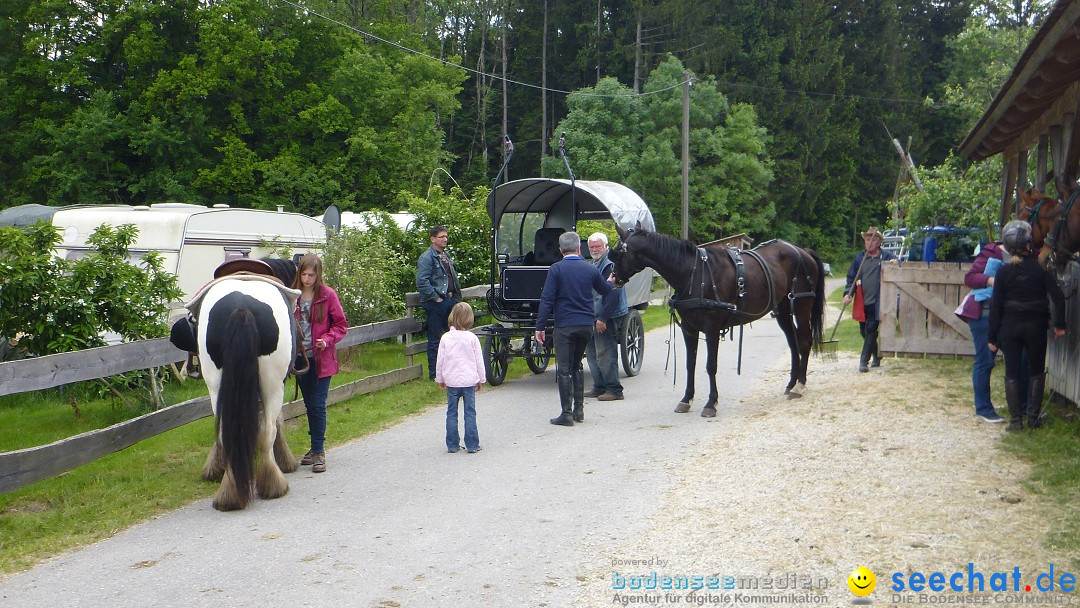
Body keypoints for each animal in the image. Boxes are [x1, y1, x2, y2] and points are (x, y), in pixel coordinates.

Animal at [609, 223, 825, 419]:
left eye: (617, 252)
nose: (613, 277)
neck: (693, 273)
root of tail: (802, 251)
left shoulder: (711, 328)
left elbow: (710, 365)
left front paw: (711, 403)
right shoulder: (689, 328)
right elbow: (690, 363)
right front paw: (686, 399)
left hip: (801, 305)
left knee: (804, 342)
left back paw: (799, 385)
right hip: (782, 310)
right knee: (793, 344)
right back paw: (791, 384)